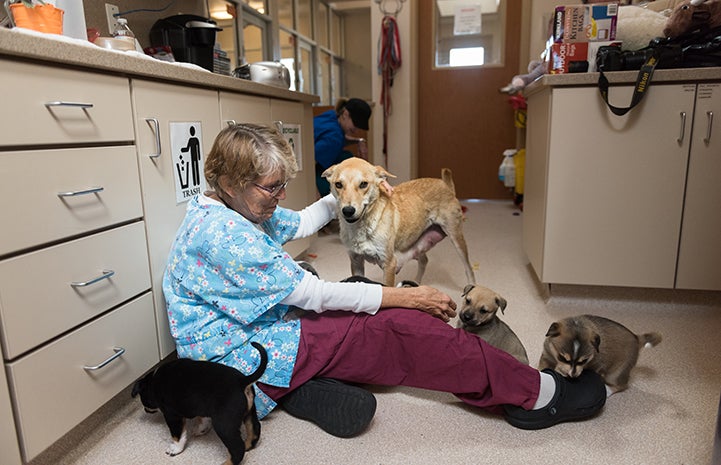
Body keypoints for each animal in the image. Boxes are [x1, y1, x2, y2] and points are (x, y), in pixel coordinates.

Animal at [131, 340, 266, 464]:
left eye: (144, 400)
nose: (145, 410)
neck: (153, 382)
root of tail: (242, 381)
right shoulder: (201, 407)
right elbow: (202, 419)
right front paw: (201, 429)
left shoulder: (172, 415)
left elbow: (177, 435)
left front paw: (175, 449)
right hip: (249, 412)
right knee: (254, 430)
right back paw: (248, 445)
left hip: (224, 425)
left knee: (238, 448)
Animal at [320, 157, 472, 286]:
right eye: (338, 184)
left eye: (363, 184)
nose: (348, 210)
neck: (362, 227)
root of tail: (445, 185)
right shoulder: (356, 261)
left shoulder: (389, 264)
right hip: (417, 243)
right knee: (424, 261)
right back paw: (415, 283)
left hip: (456, 239)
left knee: (468, 268)